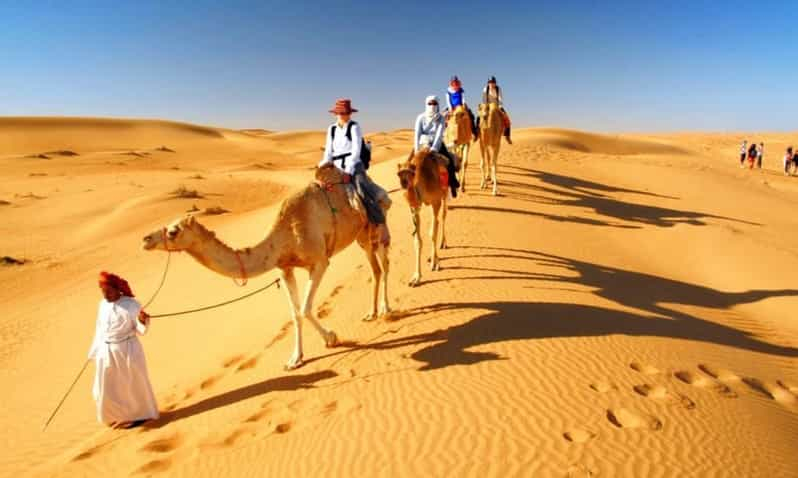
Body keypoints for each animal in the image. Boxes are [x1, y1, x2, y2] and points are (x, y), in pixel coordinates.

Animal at [145, 164, 396, 370]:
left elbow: (305, 308)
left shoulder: (319, 261)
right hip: (361, 235)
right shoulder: (285, 269)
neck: (285, 234)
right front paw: (295, 359)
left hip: (377, 224)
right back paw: (371, 313)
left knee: (384, 264)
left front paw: (331, 338)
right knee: (375, 268)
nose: (146, 239)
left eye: (173, 231)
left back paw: (386, 309)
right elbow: (295, 313)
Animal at [398, 148, 450, 286]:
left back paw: (442, 244)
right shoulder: (415, 209)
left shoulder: (436, 202)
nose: (404, 184)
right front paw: (416, 277)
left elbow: (432, 233)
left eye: (411, 172)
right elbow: (417, 240)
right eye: (398, 174)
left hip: (444, 193)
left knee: (443, 216)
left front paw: (435, 264)